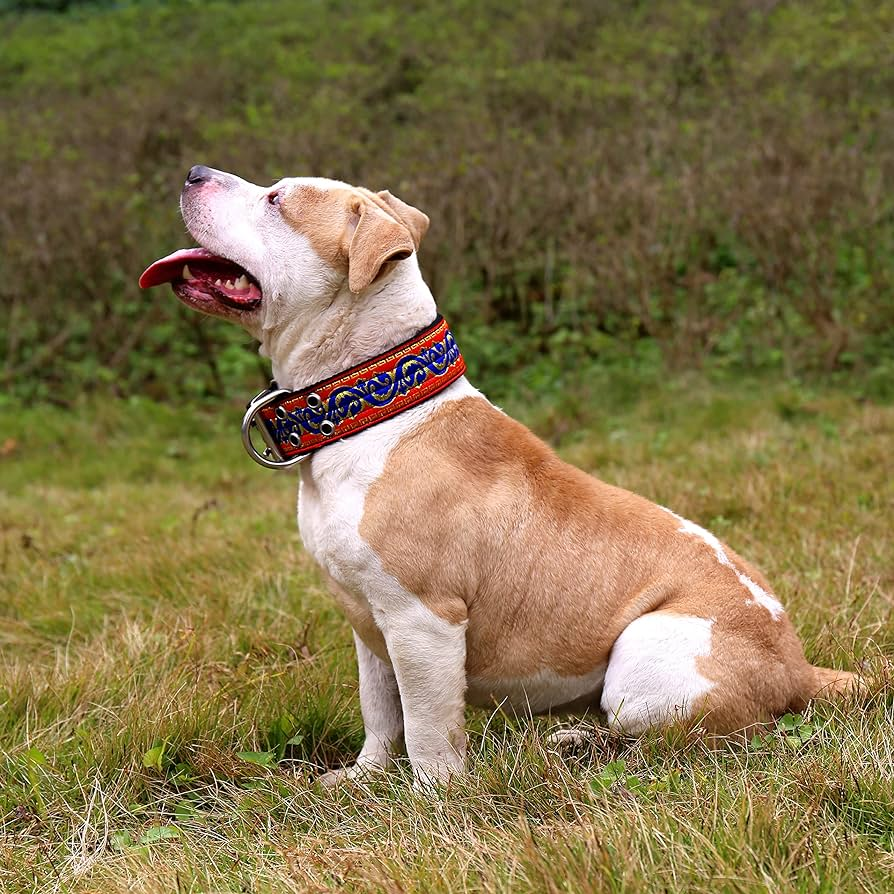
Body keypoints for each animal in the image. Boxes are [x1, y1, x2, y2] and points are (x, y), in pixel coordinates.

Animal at [138, 164, 856, 788]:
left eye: (277, 200)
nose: (194, 171)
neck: (370, 406)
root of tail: (801, 668)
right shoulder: (368, 624)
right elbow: (381, 713)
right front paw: (364, 779)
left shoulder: (422, 620)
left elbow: (428, 728)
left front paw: (432, 801)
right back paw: (575, 739)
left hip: (646, 657)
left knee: (689, 741)